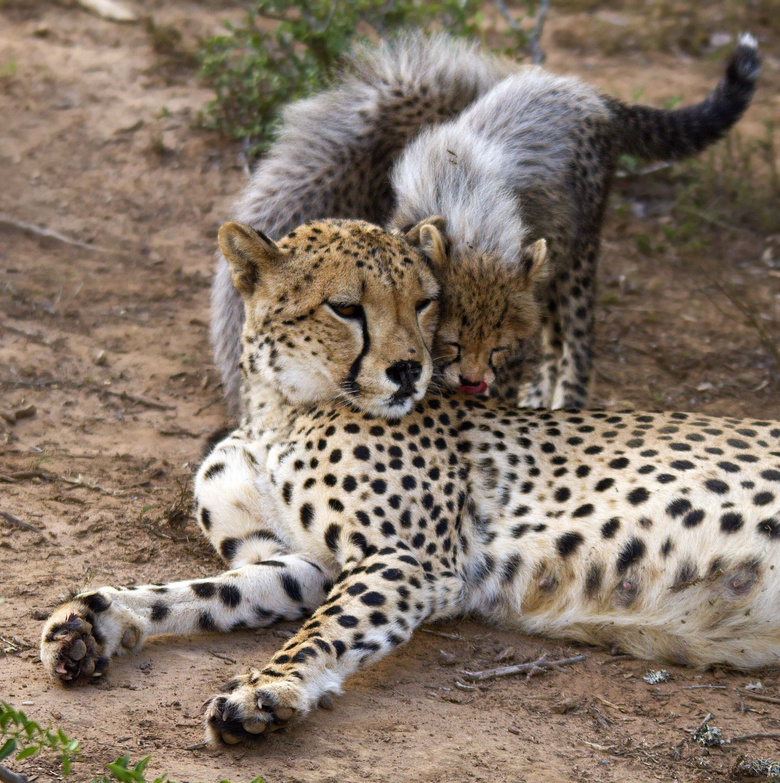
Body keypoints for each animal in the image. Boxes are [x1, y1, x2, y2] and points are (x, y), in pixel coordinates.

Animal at [41, 220, 780, 748]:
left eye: (424, 302)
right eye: (345, 307)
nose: (407, 371)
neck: (284, 406)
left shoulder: (411, 558)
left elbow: (327, 628)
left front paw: (267, 691)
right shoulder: (296, 564)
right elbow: (202, 593)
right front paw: (98, 617)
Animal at [210, 33, 760, 416]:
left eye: (499, 347)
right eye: (451, 341)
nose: (474, 381)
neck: (470, 224)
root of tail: (581, 90)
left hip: (577, 254)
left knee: (577, 338)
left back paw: (567, 399)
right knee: (558, 335)